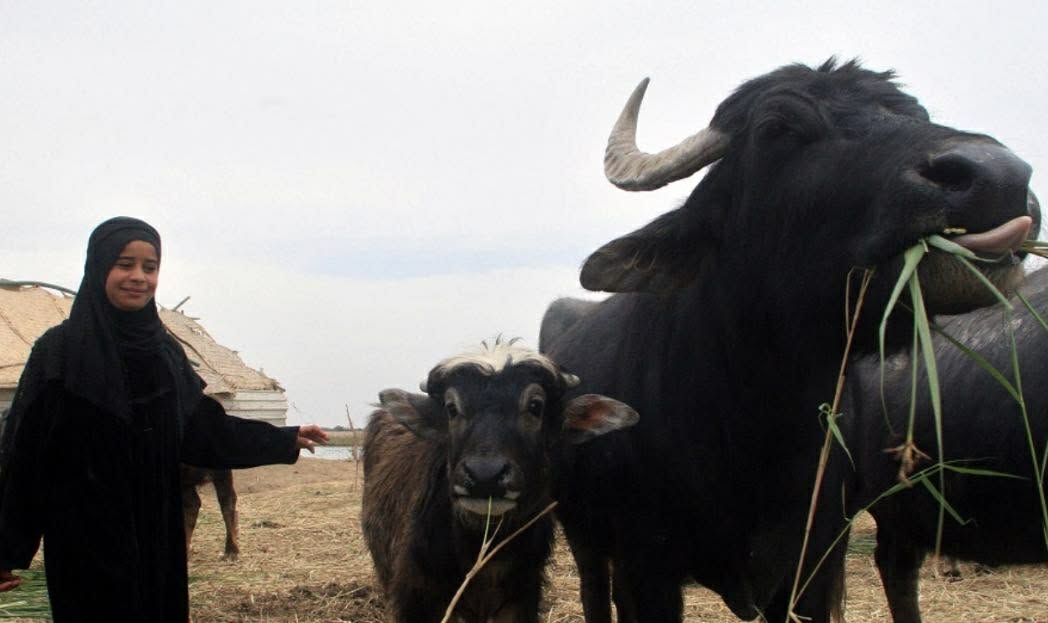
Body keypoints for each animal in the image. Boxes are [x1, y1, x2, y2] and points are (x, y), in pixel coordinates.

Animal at [541, 59, 1038, 622]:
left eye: (916, 113)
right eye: (777, 129)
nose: (998, 176)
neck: (748, 424)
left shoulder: (813, 560)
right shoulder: (643, 567)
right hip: (583, 539)